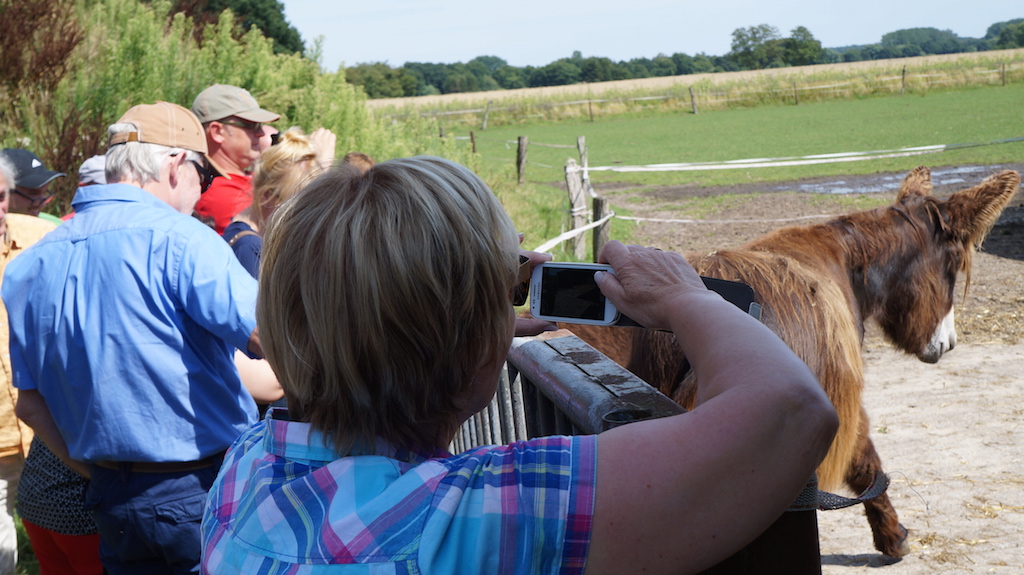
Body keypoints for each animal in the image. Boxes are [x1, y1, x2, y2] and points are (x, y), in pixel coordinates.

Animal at [569, 166, 1020, 558]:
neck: (843, 260)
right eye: (951, 267)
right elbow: (867, 462)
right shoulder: (837, 405)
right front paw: (893, 537)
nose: (949, 344)